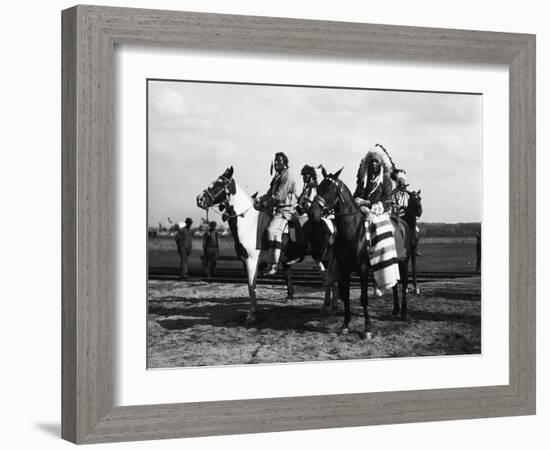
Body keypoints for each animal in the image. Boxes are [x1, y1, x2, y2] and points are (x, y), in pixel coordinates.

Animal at [310, 168, 414, 338]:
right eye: (318, 188)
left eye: (330, 189)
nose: (312, 213)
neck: (353, 231)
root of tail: (402, 222)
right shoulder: (344, 269)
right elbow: (345, 296)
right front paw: (345, 325)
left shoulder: (363, 269)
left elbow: (364, 298)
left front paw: (367, 328)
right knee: (394, 284)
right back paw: (395, 310)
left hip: (404, 261)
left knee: (404, 283)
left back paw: (404, 312)